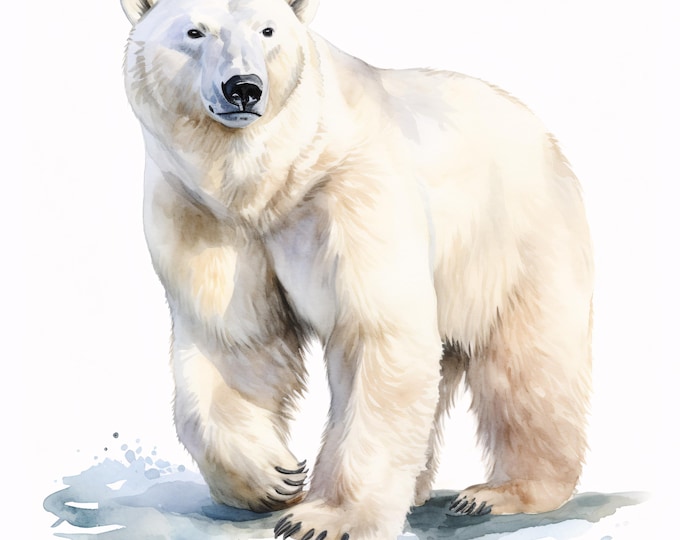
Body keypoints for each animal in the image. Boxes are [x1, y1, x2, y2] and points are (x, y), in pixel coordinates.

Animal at [120, 0, 594, 539]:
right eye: (194, 32)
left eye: (268, 30)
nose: (243, 87)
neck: (270, 181)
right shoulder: (203, 214)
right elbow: (234, 342)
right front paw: (274, 477)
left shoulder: (353, 190)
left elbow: (376, 333)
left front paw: (324, 518)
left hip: (513, 238)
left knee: (527, 363)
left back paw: (502, 492)